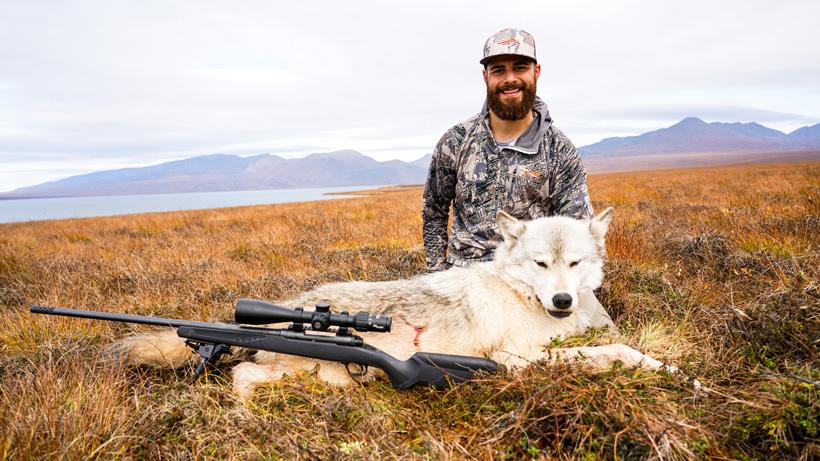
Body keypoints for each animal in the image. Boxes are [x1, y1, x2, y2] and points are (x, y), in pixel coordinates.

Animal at [121, 207, 676, 399]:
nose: (561, 299)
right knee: (241, 376)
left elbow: (620, 348)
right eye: (541, 264)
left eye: (574, 263)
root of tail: (294, 303)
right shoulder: (516, 360)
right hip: (304, 372)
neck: (522, 295)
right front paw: (673, 372)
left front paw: (671, 370)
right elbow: (618, 352)